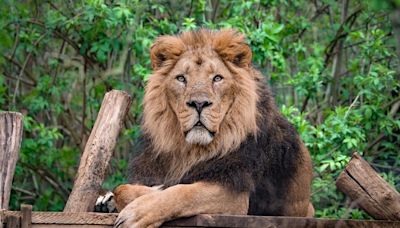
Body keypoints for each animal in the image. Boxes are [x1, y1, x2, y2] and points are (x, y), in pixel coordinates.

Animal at [104, 29, 314, 227]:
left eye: (217, 78)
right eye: (181, 78)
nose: (199, 103)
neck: (189, 151)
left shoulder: (235, 196)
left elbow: (181, 192)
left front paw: (135, 212)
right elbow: (123, 188)